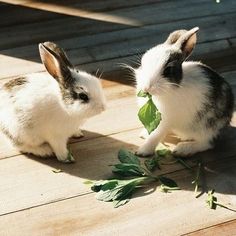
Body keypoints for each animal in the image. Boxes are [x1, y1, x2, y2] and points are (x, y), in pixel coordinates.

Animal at [136, 27, 233, 157]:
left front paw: (142, 151)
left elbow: (156, 135)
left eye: (168, 70)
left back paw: (183, 149)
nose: (146, 88)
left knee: (207, 143)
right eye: (142, 63)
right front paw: (144, 135)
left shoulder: (165, 120)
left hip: (208, 128)